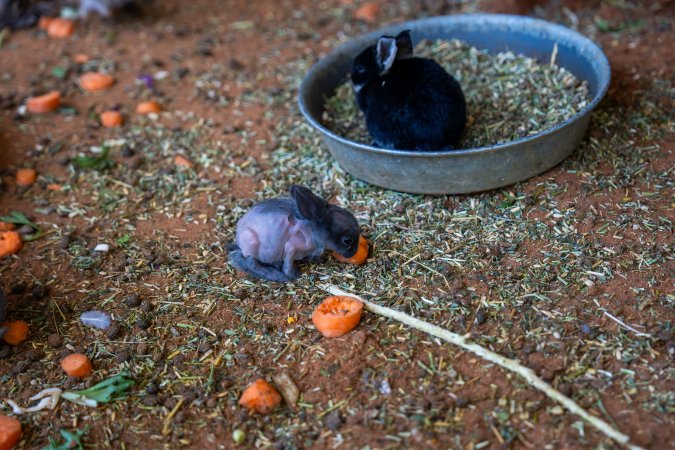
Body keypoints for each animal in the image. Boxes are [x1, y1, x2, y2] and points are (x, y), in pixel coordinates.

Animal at [228, 185, 361, 282]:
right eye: (347, 240)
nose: (354, 253)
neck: (313, 230)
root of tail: (239, 239)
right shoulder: (291, 247)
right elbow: (288, 264)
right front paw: (293, 275)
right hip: (251, 243)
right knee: (251, 263)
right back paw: (275, 275)